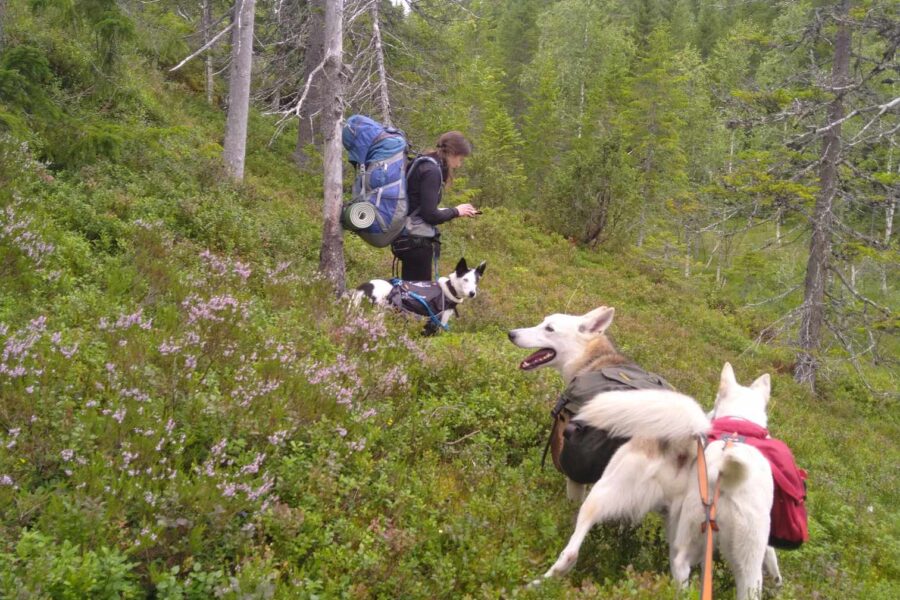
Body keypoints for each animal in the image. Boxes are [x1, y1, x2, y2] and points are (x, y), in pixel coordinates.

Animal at [356, 258, 488, 332]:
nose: (472, 293)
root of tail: (364, 288)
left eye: (477, 281)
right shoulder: (436, 323)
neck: (450, 289)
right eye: (465, 279)